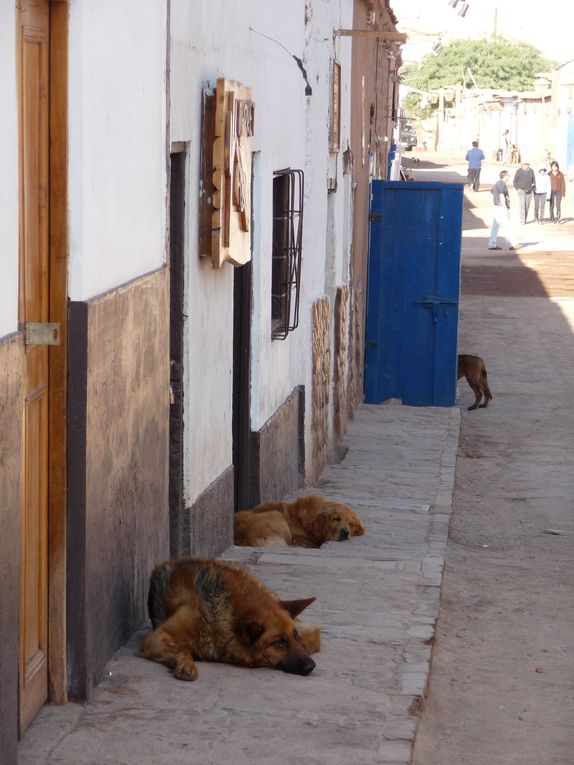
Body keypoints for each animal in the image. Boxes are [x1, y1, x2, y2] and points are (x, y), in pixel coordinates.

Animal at [140, 556, 320, 680]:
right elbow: (181, 648)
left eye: (295, 637)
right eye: (280, 642)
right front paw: (186, 663)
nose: (311, 666)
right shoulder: (155, 638)